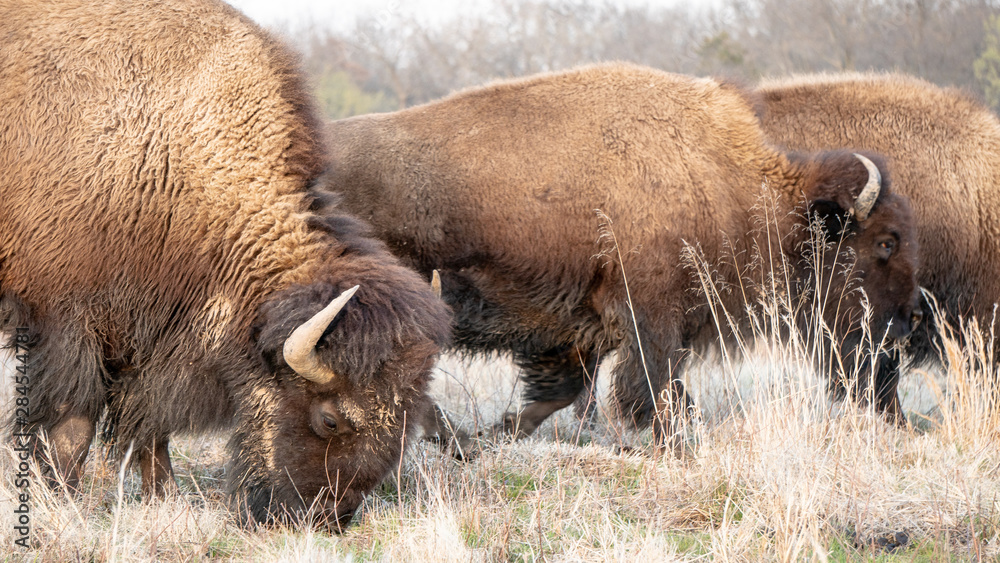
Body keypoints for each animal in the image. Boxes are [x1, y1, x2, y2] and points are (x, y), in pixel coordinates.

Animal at [0, 0, 453, 528]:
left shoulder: (152, 340)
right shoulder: (71, 327)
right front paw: (63, 501)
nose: (326, 517)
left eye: (406, 417)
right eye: (330, 418)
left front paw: (163, 498)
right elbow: (74, 426)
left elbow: (150, 427)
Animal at [326, 63, 923, 451]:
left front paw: (500, 431)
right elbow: (649, 385)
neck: (728, 186)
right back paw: (444, 437)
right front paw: (669, 439)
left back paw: (453, 438)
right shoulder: (649, 315)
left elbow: (563, 392)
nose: (908, 319)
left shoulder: (578, 328)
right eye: (885, 242)